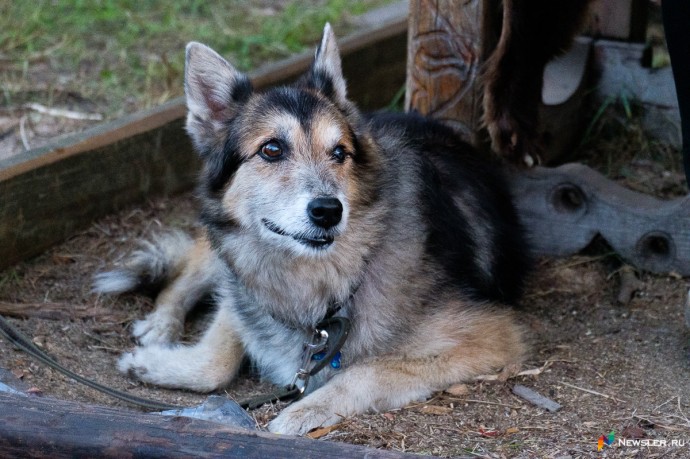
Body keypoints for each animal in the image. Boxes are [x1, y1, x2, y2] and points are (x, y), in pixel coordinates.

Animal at [92, 24, 528, 434]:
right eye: (271, 149)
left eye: (339, 153)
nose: (328, 211)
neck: (319, 280)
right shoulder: (245, 287)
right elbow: (217, 357)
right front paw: (154, 364)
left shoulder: (491, 334)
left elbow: (367, 369)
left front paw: (305, 410)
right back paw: (161, 322)